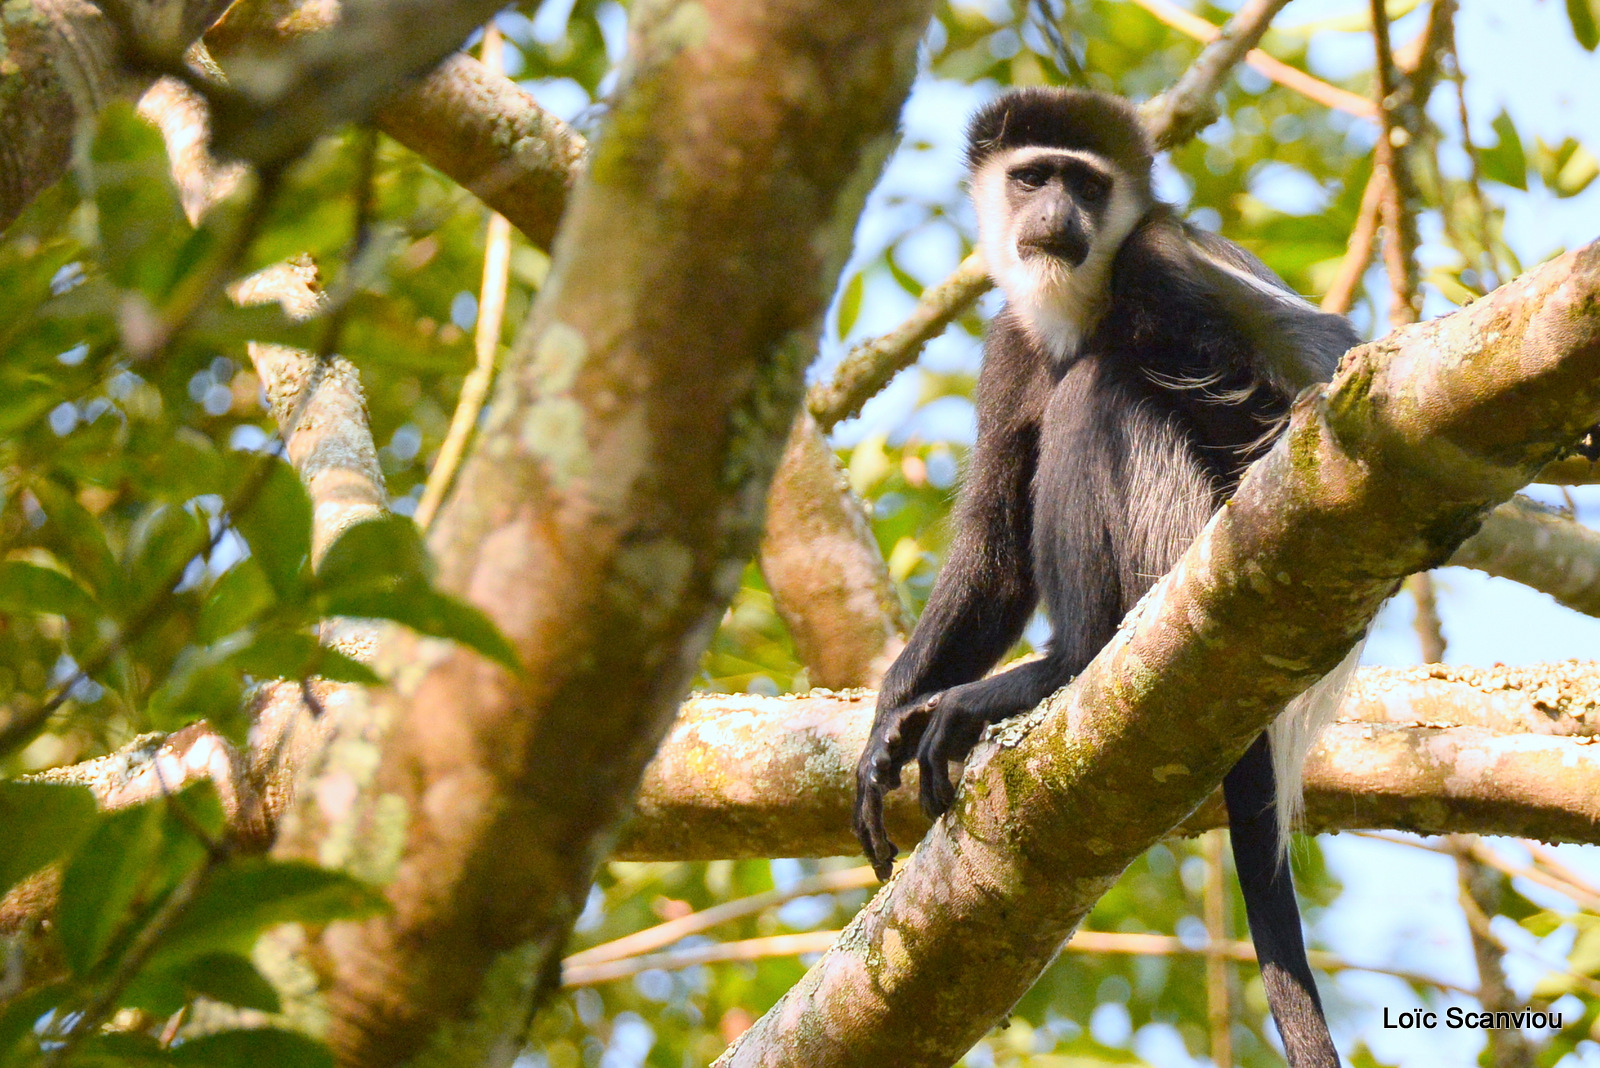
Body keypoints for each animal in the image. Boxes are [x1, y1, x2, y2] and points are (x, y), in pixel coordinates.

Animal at [851, 91, 1363, 1068]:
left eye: (1087, 185)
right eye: (1032, 178)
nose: (1058, 215)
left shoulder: (1161, 260)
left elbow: (1321, 365)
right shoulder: (1008, 344)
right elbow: (996, 550)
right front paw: (883, 735)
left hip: (1177, 533)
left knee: (1100, 392)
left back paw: (1061, 666)